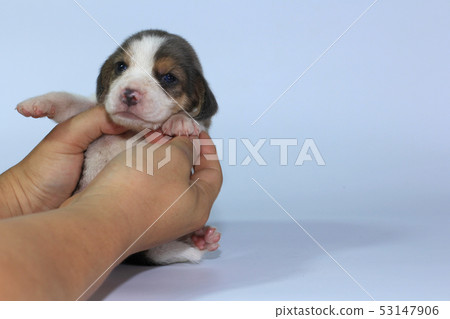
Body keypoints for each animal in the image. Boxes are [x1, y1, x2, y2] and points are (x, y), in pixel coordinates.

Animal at [16, 30, 221, 264]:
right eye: (121, 66)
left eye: (169, 77)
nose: (129, 93)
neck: (132, 131)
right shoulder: (91, 109)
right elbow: (70, 101)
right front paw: (39, 102)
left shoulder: (202, 134)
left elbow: (197, 124)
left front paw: (181, 121)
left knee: (169, 253)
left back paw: (201, 241)